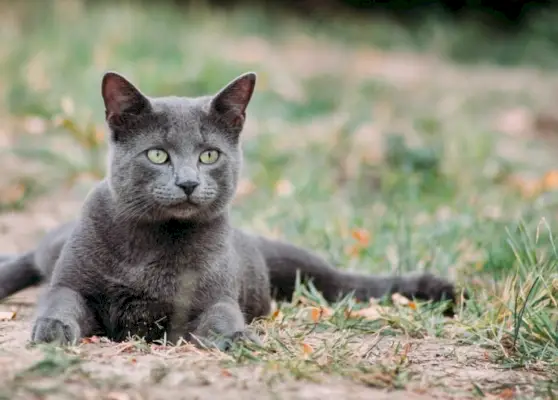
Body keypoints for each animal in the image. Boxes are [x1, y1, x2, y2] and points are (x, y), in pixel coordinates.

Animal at [0, 72, 460, 350]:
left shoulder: (210, 299)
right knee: (30, 257)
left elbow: (221, 316)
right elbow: (61, 300)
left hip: (304, 268)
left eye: (209, 155)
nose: (188, 182)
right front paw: (52, 330)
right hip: (55, 247)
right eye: (157, 155)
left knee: (345, 281)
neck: (154, 243)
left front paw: (237, 338)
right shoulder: (73, 284)